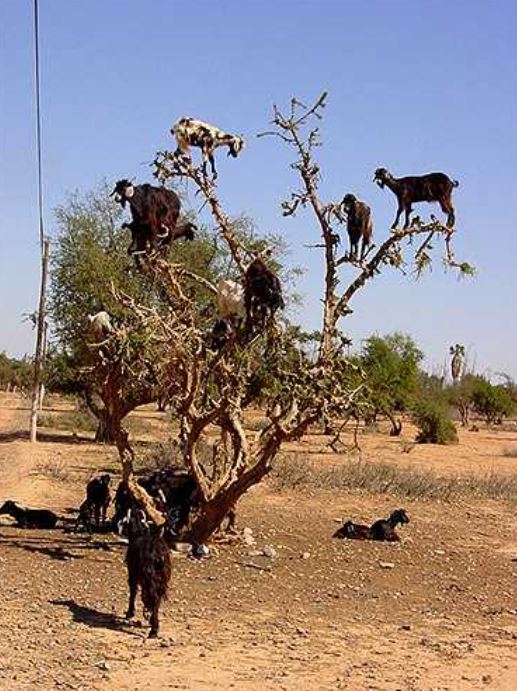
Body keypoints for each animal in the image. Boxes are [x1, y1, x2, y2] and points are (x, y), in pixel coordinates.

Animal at [121, 506, 170, 640]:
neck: (139, 533)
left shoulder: (132, 574)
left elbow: (133, 592)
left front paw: (130, 613)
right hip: (161, 579)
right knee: (157, 599)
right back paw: (153, 623)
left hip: (149, 577)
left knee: (153, 597)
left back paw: (153, 630)